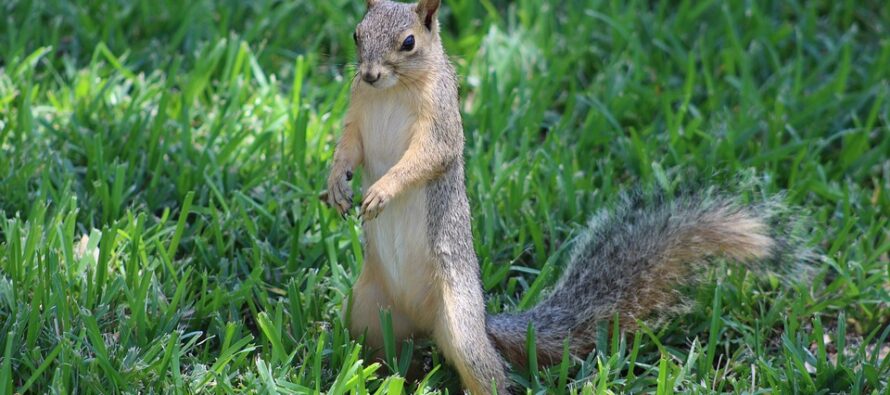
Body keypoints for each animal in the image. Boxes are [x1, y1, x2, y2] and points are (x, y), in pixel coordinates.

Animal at [320, 0, 792, 392]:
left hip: (459, 322)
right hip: (364, 311)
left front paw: (382, 190)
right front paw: (336, 184)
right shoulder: (358, 110)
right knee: (377, 352)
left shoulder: (439, 119)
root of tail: (476, 321)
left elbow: (428, 157)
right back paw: (371, 374)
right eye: (357, 34)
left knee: (486, 372)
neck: (391, 91)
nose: (369, 73)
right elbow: (349, 148)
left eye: (409, 42)